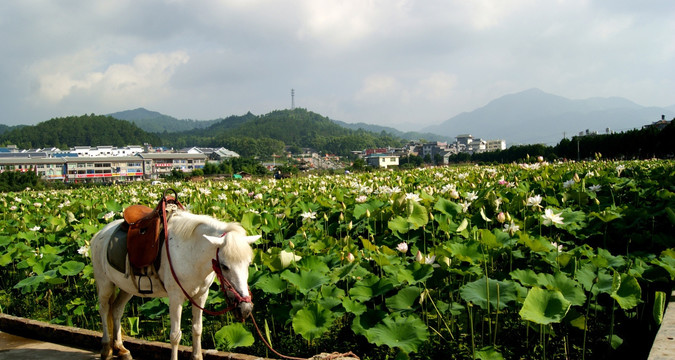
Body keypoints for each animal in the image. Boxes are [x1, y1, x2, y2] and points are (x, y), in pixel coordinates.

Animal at [90, 208, 258, 360]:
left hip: (127, 288)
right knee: (104, 310)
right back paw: (106, 349)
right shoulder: (175, 297)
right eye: (224, 266)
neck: (191, 251)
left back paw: (121, 349)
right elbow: (175, 335)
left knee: (116, 310)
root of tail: (99, 233)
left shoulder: (201, 295)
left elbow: (197, 329)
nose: (245, 309)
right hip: (104, 284)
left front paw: (197, 356)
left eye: (249, 263)